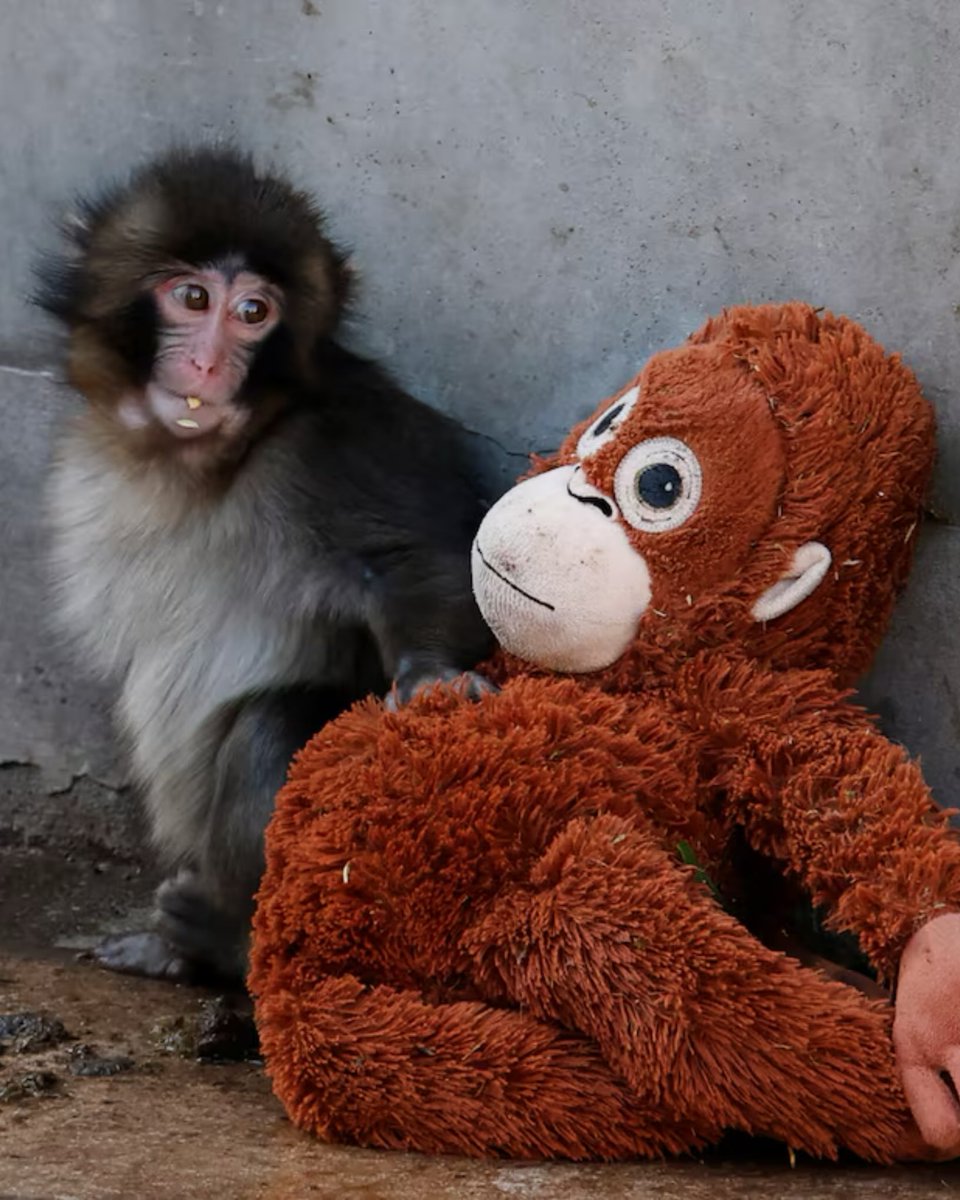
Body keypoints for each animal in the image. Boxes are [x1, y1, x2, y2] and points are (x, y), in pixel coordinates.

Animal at [35, 146, 495, 984]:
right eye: (192, 297)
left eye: (255, 313)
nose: (210, 362)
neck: (205, 461)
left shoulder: (338, 441)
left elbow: (425, 559)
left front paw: (431, 675)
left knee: (270, 728)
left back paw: (223, 941)